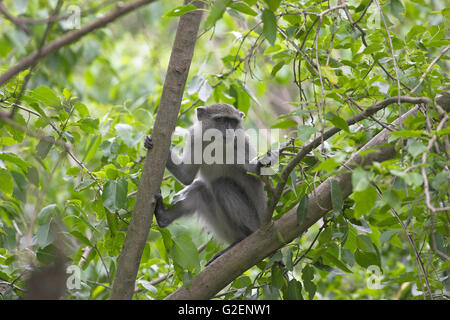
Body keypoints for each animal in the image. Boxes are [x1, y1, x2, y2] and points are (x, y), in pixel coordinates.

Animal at [146, 103, 276, 264]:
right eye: (221, 120)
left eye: (233, 122)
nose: (229, 131)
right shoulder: (195, 137)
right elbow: (186, 176)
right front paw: (151, 141)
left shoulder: (241, 141)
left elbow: (255, 174)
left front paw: (263, 163)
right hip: (223, 227)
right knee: (199, 188)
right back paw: (163, 217)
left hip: (254, 221)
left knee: (221, 184)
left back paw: (244, 238)